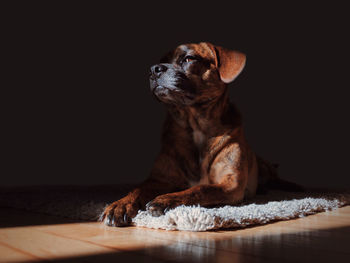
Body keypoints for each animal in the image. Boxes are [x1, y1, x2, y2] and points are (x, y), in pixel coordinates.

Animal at [100, 42, 302, 228]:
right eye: (162, 60)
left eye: (189, 59)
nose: (154, 69)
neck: (195, 124)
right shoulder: (158, 179)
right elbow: (137, 189)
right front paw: (120, 205)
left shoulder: (230, 183)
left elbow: (200, 188)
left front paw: (165, 199)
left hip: (264, 166)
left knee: (275, 177)